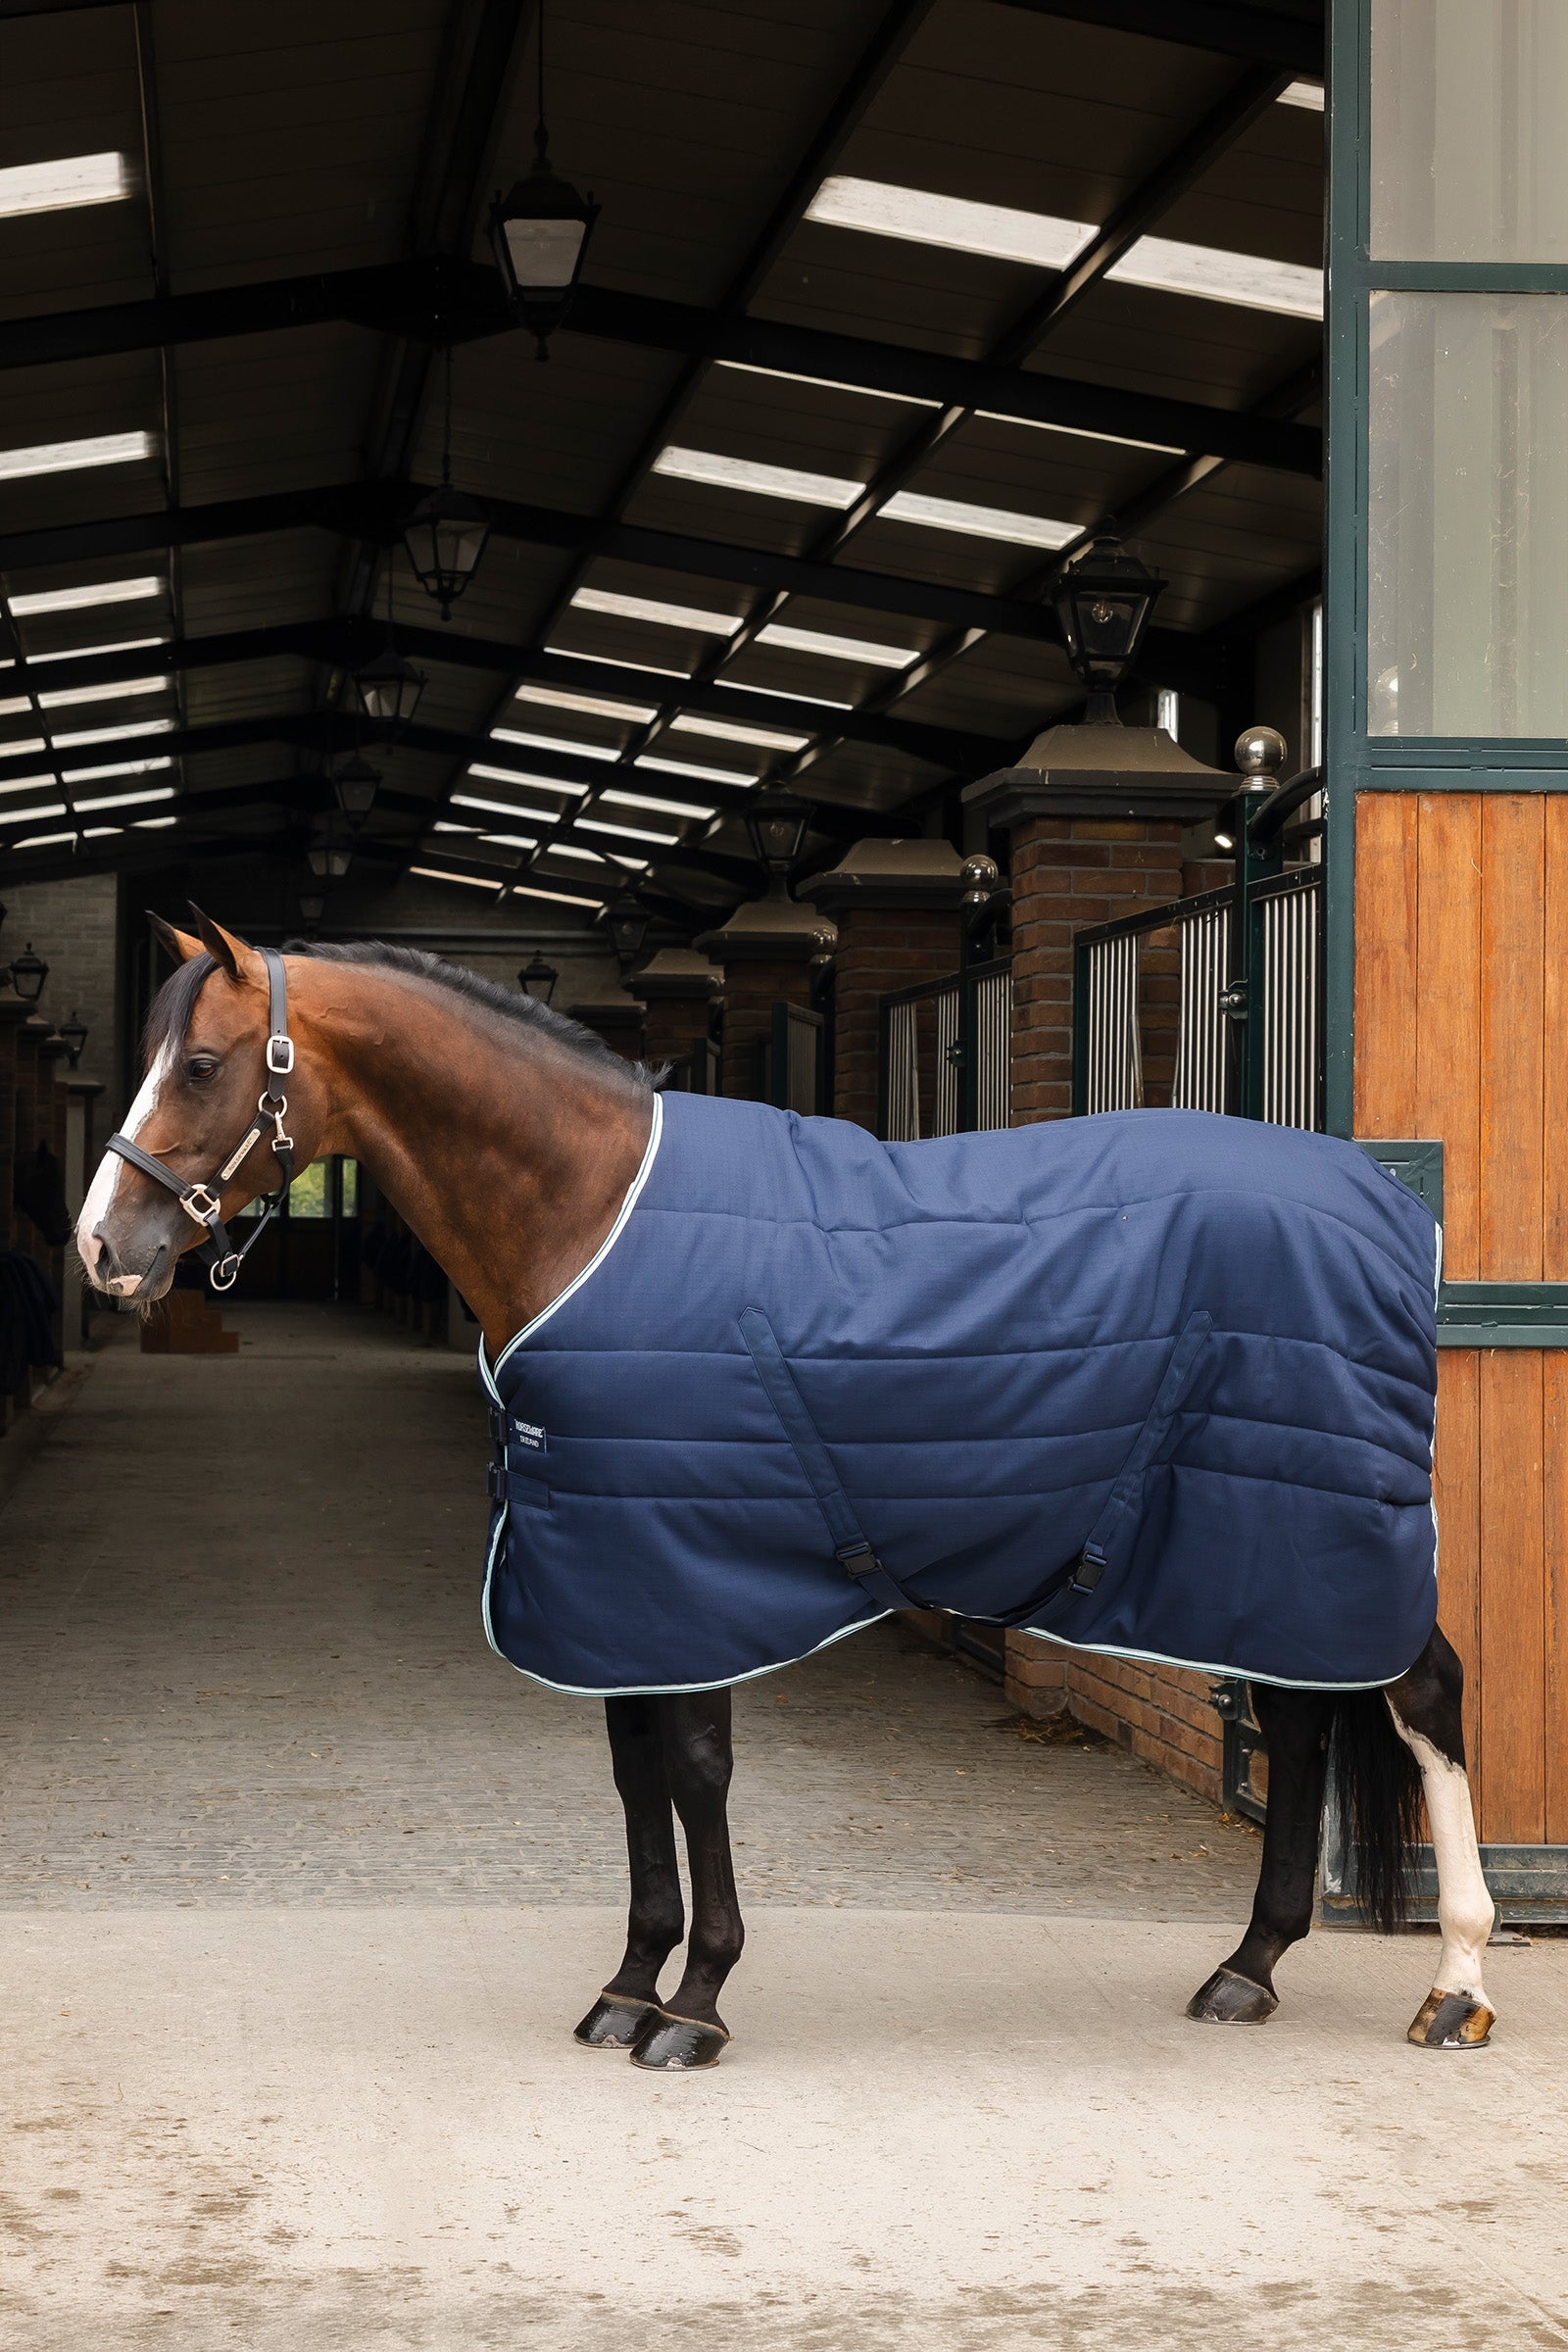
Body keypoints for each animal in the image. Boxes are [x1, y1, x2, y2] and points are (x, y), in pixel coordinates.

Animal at [76, 909, 1498, 2071]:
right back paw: (1248, 1968)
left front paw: (695, 2005)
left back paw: (1456, 1983)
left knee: (1424, 1697)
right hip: (1261, 1545)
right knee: (1302, 1722)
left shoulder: (686, 1568)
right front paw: (628, 1987)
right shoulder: (614, 1581)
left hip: (1324, 1531)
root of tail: (1380, 1202)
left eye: (199, 1065)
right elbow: (634, 1773)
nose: (103, 1247)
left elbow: (695, 1770)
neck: (591, 1210)